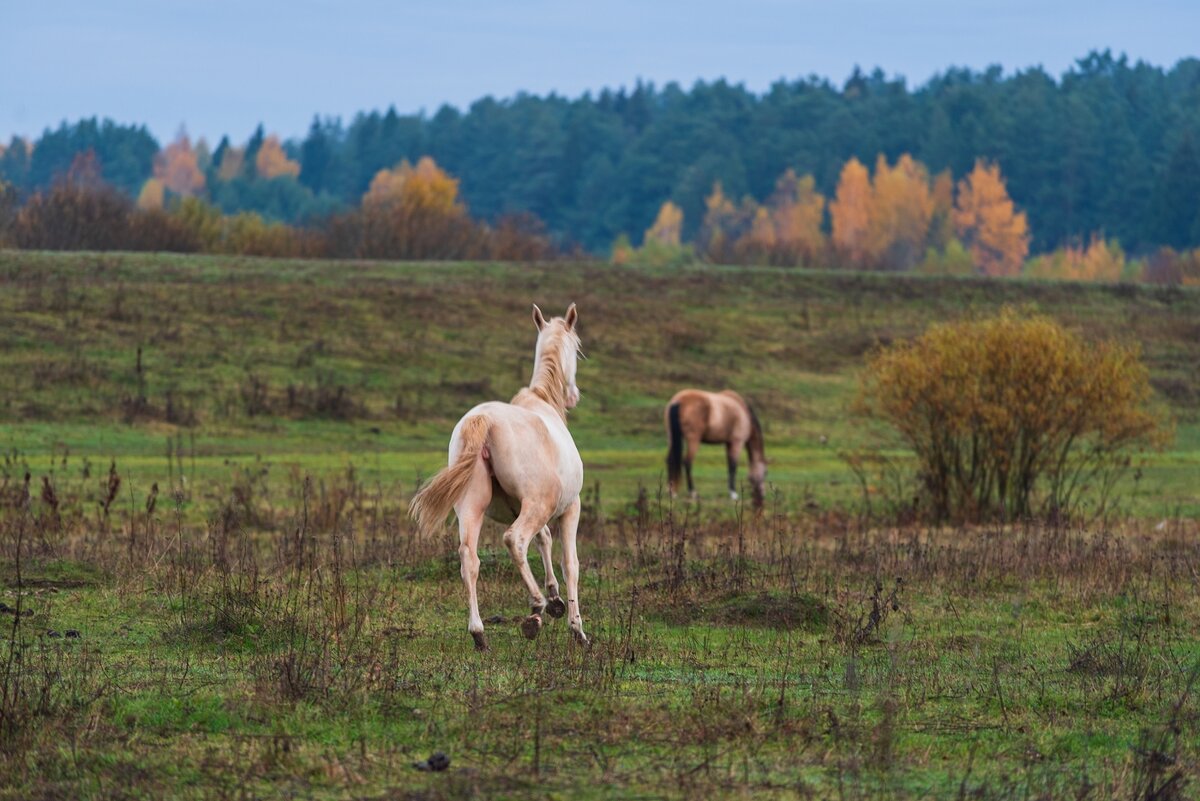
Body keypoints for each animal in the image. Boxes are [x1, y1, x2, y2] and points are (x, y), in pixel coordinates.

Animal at [408, 303, 585, 647]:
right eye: (577, 349)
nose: (574, 395)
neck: (542, 401)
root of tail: (483, 420)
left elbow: (544, 540)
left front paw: (555, 599)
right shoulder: (570, 508)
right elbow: (570, 563)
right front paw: (576, 628)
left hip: (471, 506)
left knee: (469, 559)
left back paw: (479, 633)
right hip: (536, 506)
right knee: (515, 540)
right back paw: (534, 609)